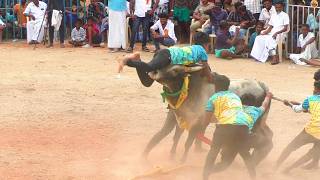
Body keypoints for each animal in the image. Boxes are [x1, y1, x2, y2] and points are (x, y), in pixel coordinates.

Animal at [132, 65, 272, 165]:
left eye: (176, 70)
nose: (154, 72)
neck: (190, 91)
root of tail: (261, 85)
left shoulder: (195, 124)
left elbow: (187, 143)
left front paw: (182, 161)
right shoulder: (180, 119)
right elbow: (172, 137)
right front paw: (171, 156)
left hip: (255, 122)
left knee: (265, 137)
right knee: (267, 135)